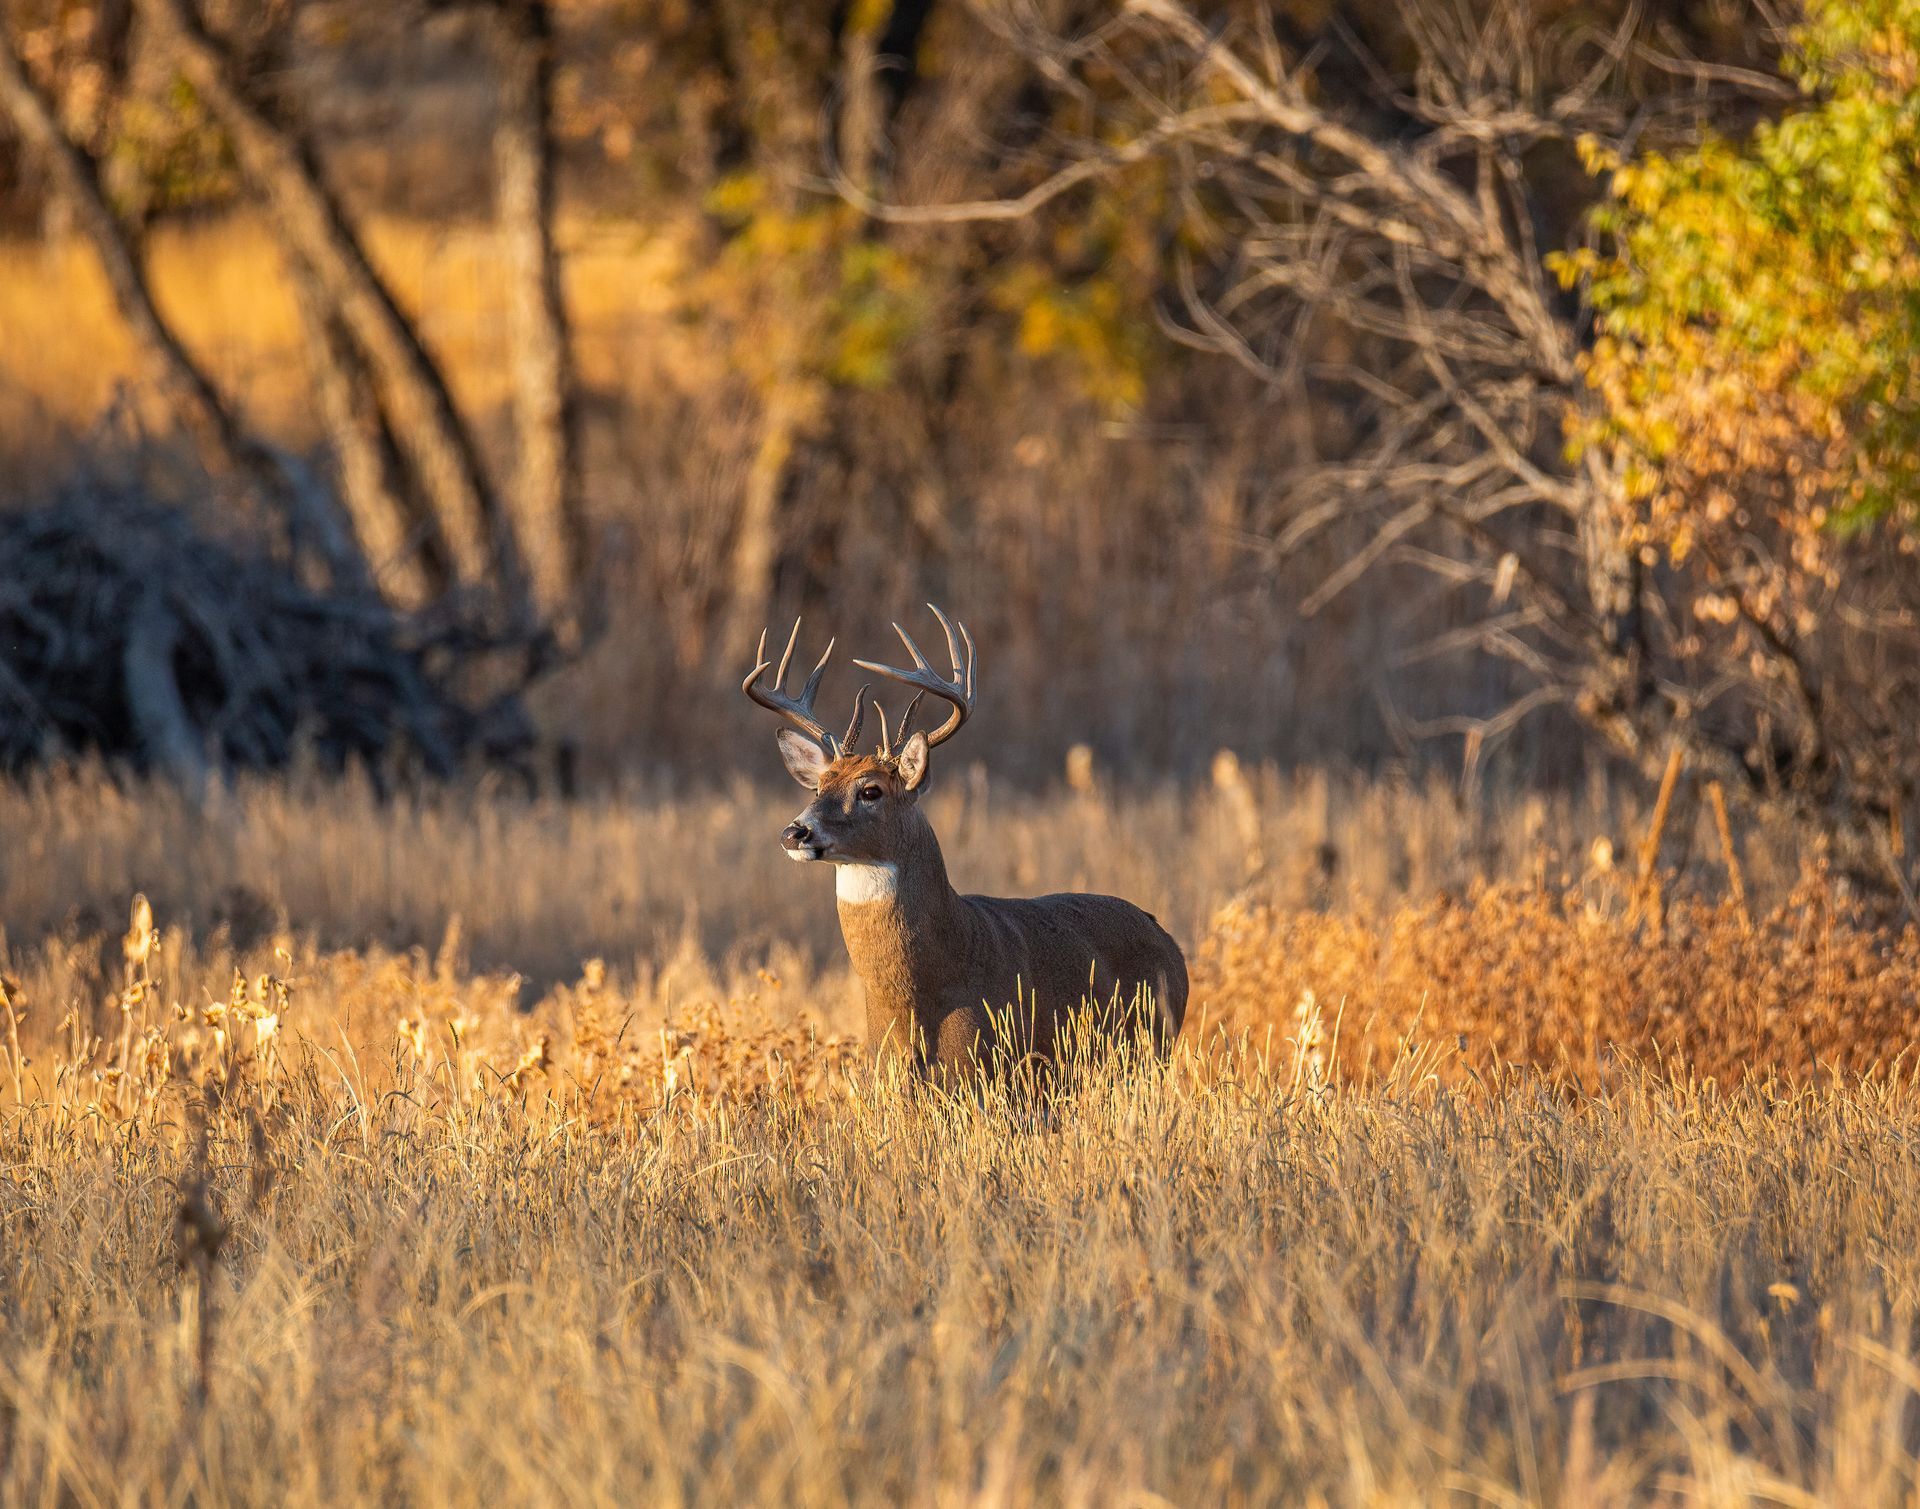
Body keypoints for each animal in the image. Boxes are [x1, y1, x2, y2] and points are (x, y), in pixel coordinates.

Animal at [744, 605, 1188, 1079]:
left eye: (871, 790)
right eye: (819, 787)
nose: (794, 832)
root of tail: (1170, 943)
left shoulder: (994, 1065)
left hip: (1151, 1045)